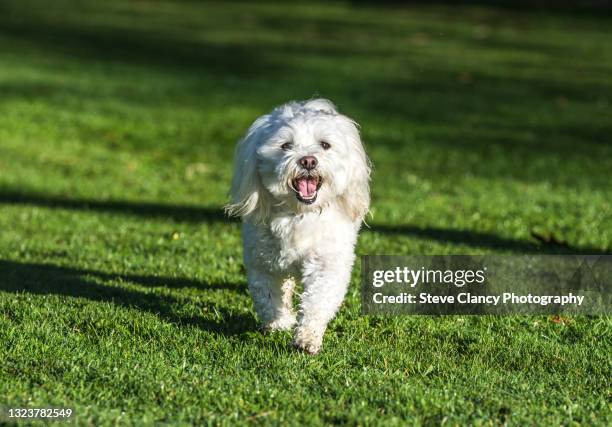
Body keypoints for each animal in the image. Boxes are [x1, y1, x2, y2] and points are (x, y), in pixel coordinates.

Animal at [225, 99, 368, 354]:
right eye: (286, 145)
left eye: (325, 145)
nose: (308, 160)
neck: (299, 214)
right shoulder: (262, 262)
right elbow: (268, 297)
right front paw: (280, 322)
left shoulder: (327, 263)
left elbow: (318, 300)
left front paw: (307, 338)